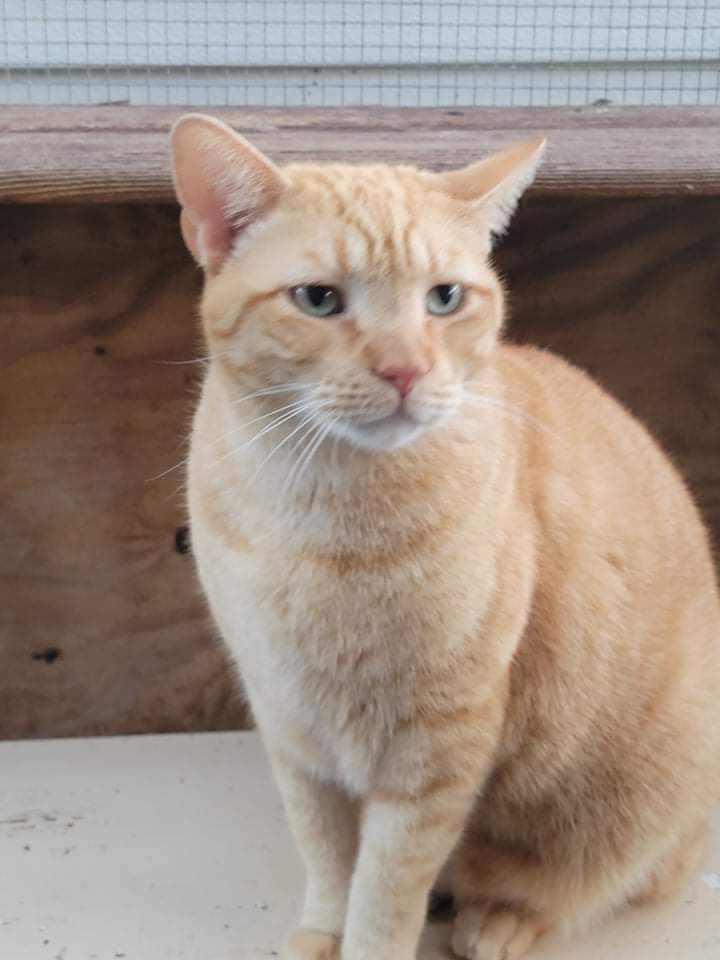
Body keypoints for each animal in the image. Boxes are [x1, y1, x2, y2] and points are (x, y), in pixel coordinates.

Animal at [170, 114, 720, 960]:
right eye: (319, 299)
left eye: (444, 298)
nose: (405, 370)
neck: (321, 513)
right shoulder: (292, 729)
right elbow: (328, 858)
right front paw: (322, 933)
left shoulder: (435, 750)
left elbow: (385, 889)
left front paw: (369, 944)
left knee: (589, 881)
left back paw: (494, 919)